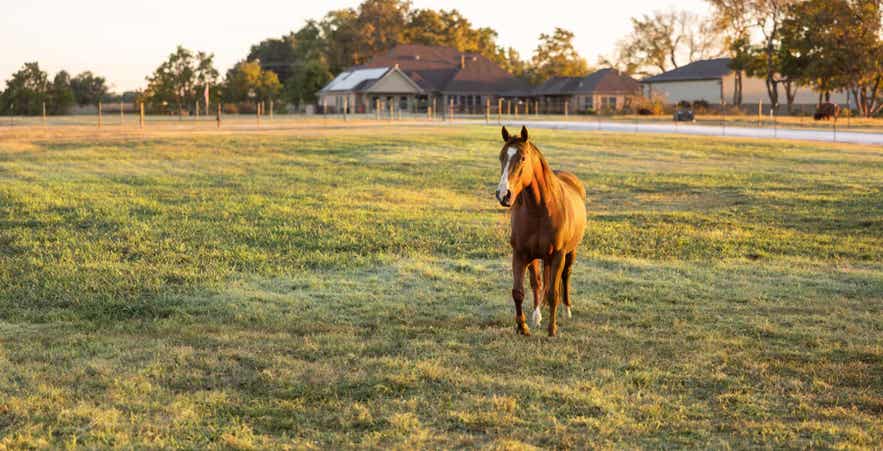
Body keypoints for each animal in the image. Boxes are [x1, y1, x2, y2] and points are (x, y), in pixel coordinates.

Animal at [495, 126, 587, 337]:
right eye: (501, 157)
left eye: (522, 158)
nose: (504, 194)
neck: (539, 209)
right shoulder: (520, 254)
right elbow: (519, 291)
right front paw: (523, 327)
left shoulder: (558, 255)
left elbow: (553, 292)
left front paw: (552, 329)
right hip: (536, 257)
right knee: (537, 283)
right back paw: (537, 315)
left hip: (570, 252)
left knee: (565, 276)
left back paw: (566, 309)